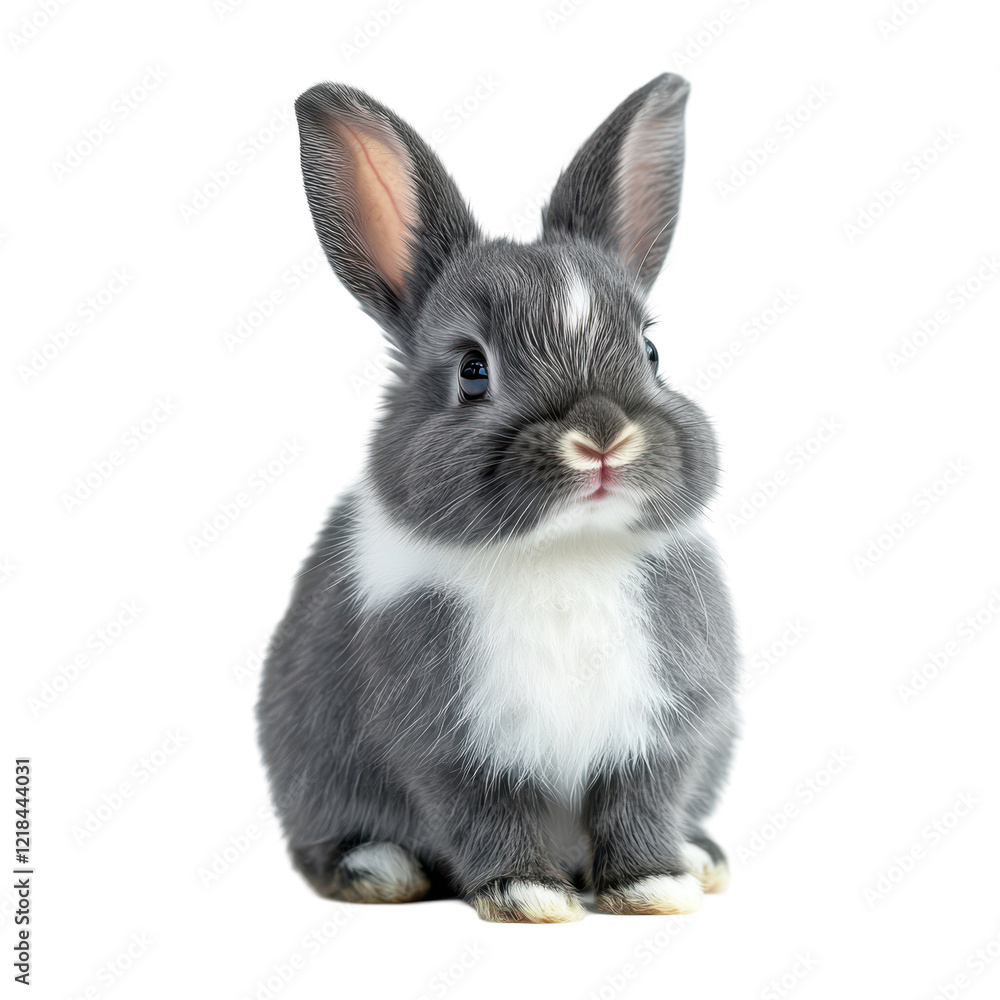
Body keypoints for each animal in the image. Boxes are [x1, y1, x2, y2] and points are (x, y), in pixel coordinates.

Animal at [257, 72, 740, 923]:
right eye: (473, 371)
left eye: (651, 350)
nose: (602, 435)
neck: (565, 551)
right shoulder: (452, 746)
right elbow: (487, 815)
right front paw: (530, 897)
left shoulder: (661, 732)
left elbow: (641, 806)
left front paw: (655, 887)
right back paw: (378, 870)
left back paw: (700, 855)